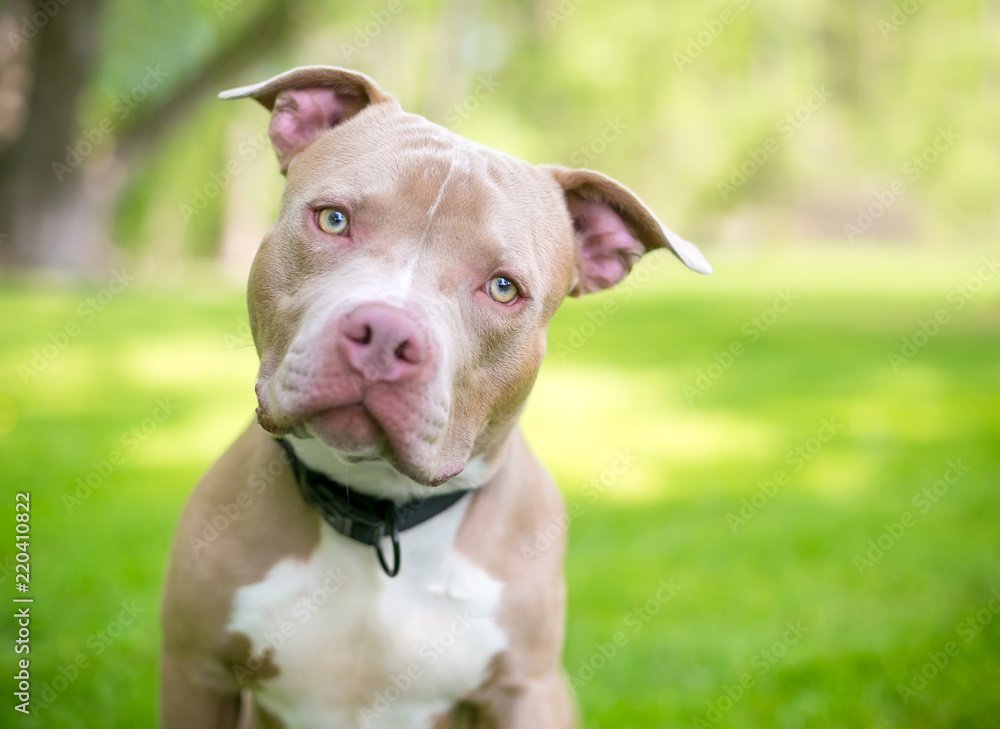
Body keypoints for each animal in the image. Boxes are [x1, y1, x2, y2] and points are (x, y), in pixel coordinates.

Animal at [162, 65, 712, 724]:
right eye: (333, 219)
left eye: (503, 288)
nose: (385, 334)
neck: (380, 516)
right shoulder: (195, 673)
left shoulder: (527, 692)